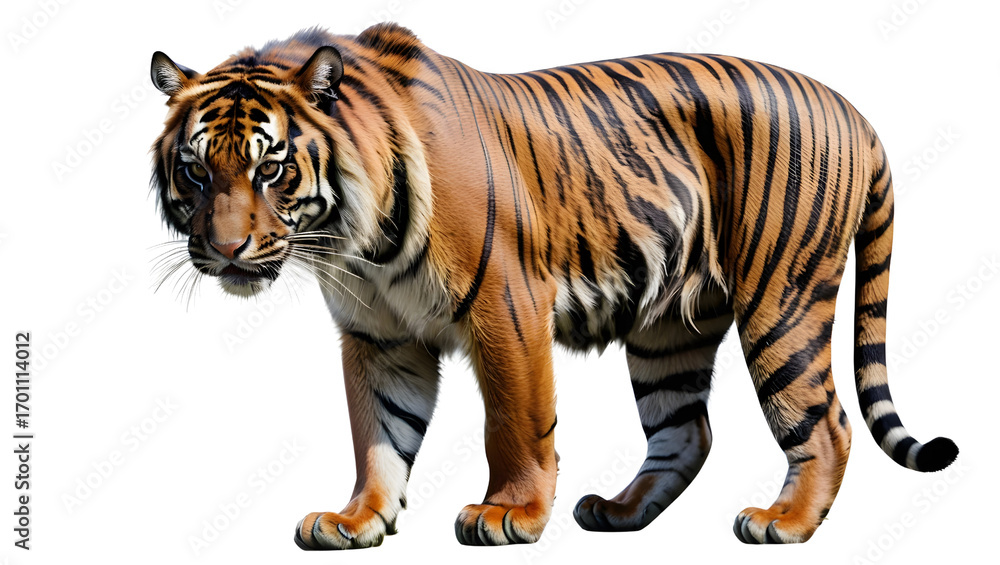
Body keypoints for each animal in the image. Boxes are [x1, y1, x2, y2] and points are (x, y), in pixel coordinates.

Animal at [149, 23, 958, 547]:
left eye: (271, 167)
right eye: (195, 170)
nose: (225, 250)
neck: (356, 240)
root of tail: (851, 109)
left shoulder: (504, 306)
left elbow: (514, 420)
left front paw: (510, 514)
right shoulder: (379, 336)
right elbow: (377, 432)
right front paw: (357, 520)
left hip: (780, 301)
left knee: (825, 422)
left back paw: (781, 523)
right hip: (670, 328)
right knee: (685, 429)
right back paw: (619, 512)